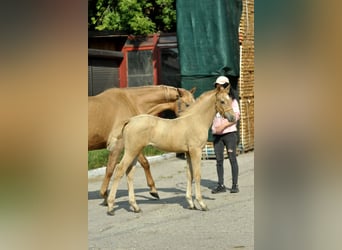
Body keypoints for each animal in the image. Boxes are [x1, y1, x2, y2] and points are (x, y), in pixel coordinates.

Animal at [106, 84, 235, 215]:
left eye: (230, 99)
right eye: (222, 101)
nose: (233, 118)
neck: (195, 120)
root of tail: (130, 121)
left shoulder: (188, 153)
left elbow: (190, 175)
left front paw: (191, 203)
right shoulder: (196, 151)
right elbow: (197, 175)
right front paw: (202, 204)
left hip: (136, 152)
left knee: (129, 173)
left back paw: (135, 206)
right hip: (131, 151)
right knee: (119, 170)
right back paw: (110, 207)